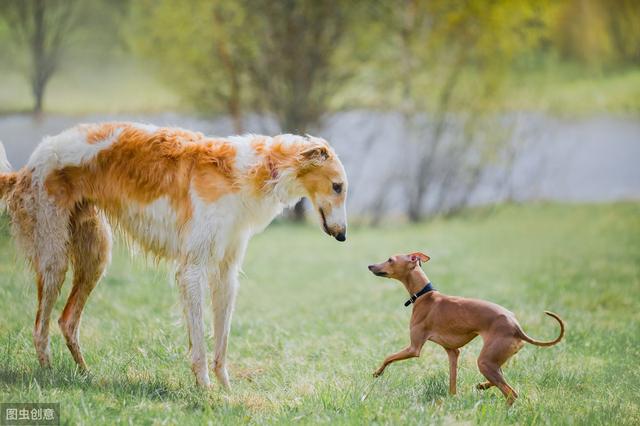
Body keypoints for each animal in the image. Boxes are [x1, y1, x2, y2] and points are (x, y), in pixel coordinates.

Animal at [0, 121, 348, 388]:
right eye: (338, 186)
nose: (343, 235)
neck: (253, 171)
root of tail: (27, 167)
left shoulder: (226, 273)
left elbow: (221, 342)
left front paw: (226, 390)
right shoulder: (192, 269)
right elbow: (201, 344)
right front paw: (205, 390)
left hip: (95, 255)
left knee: (67, 320)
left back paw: (86, 375)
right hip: (54, 259)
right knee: (40, 328)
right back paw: (49, 376)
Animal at [368, 251, 564, 404]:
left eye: (390, 259)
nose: (370, 265)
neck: (425, 295)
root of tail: (516, 326)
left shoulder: (413, 348)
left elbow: (388, 357)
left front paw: (377, 373)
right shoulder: (453, 352)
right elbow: (452, 382)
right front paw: (452, 399)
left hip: (485, 362)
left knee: (511, 393)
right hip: (493, 360)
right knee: (501, 380)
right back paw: (483, 385)